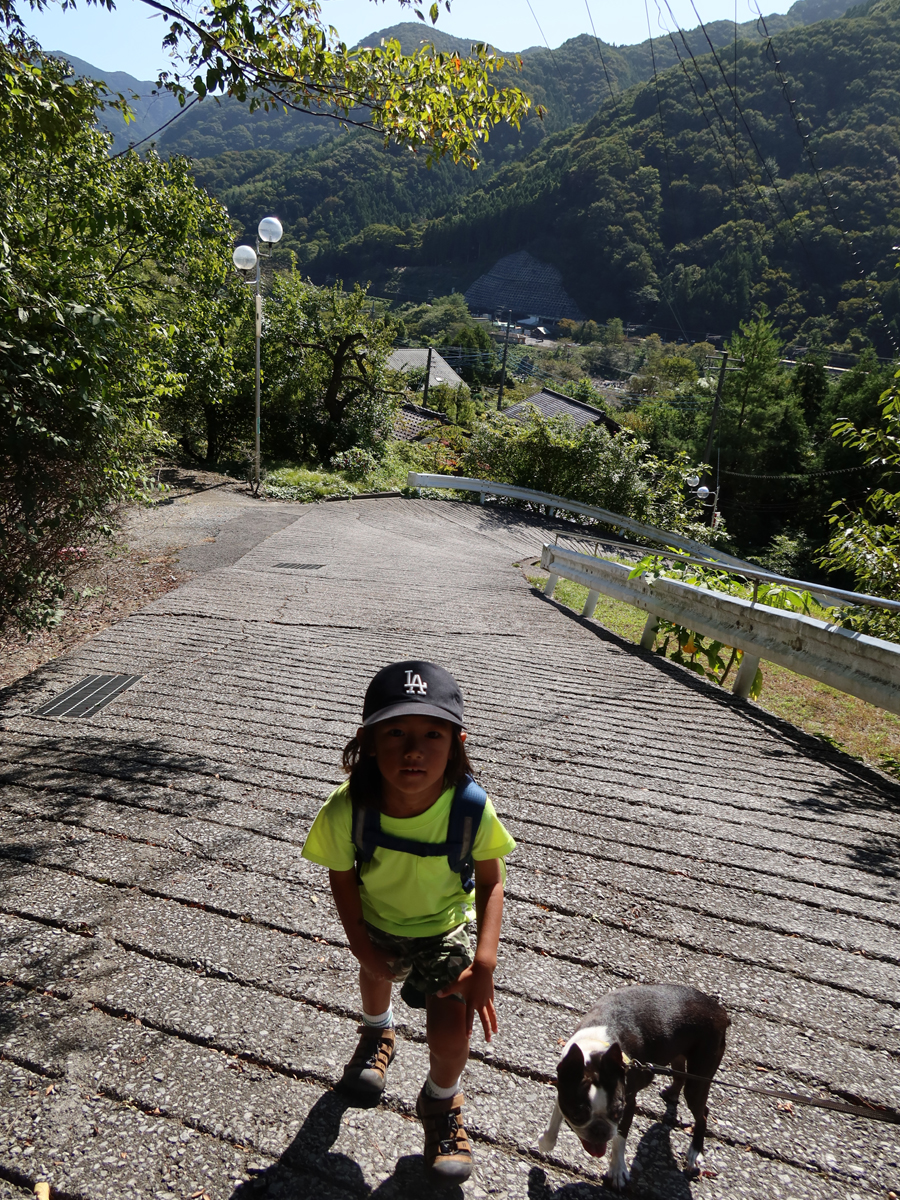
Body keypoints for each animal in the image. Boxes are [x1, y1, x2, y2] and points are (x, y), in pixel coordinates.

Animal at [540, 984, 729, 1190]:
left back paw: (695, 1152)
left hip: (700, 1072)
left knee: (702, 1113)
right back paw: (671, 1093)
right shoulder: (563, 1088)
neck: (596, 1052)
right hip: (677, 1052)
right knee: (680, 1075)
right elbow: (555, 1119)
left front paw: (617, 1171)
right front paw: (546, 1141)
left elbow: (620, 1138)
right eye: (577, 1114)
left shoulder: (629, 1103)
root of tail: (719, 1011)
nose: (600, 1130)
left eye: (618, 1113)